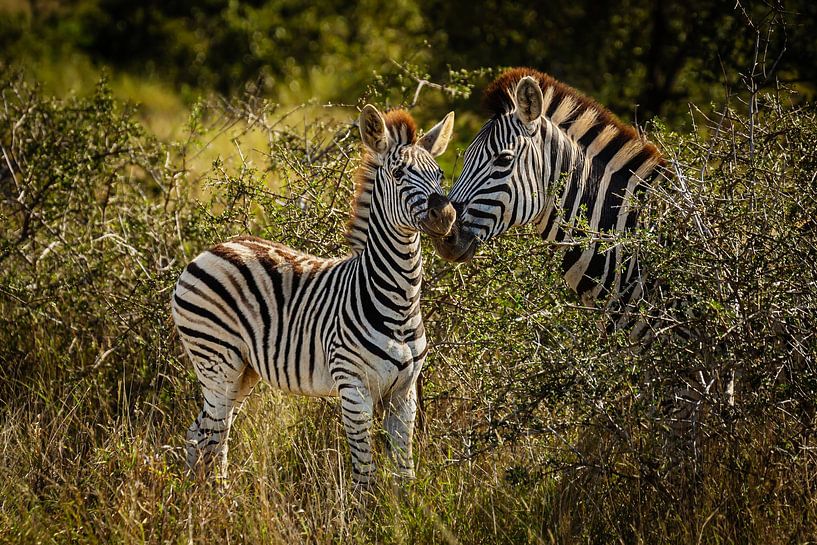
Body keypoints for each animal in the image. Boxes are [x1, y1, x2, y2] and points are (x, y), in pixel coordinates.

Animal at [172, 104, 456, 487]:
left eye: (439, 174)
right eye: (398, 174)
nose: (446, 215)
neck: (399, 301)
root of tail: (213, 248)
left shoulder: (404, 394)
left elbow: (404, 473)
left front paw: (405, 503)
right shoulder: (354, 389)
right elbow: (364, 475)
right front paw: (364, 505)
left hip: (242, 371)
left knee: (203, 433)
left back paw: (204, 497)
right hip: (217, 361)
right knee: (212, 436)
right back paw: (214, 499)